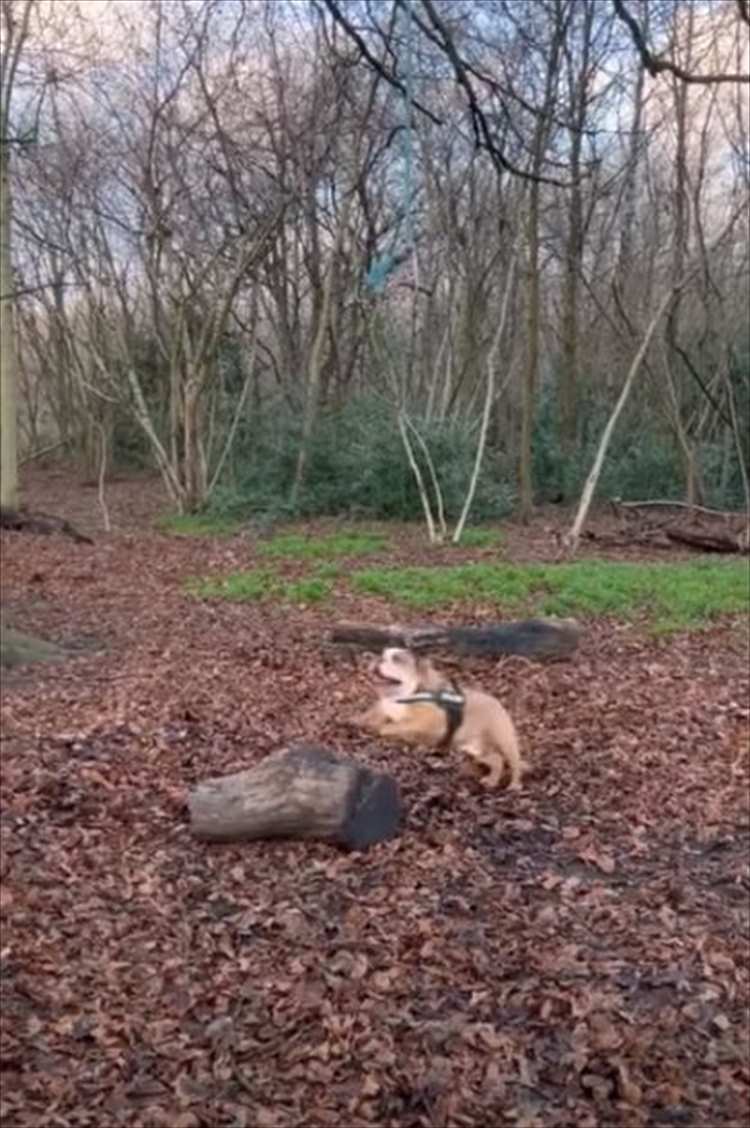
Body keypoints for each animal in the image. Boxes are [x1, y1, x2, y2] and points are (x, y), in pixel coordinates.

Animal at [351, 649, 523, 789]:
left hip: (504, 739)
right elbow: (373, 716)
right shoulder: (385, 709)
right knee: (497, 759)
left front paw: (381, 729)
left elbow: (388, 727)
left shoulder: (422, 723)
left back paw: (514, 785)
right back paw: (491, 780)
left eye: (397, 659)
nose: (377, 659)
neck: (402, 695)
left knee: (514, 763)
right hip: (476, 749)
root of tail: (497, 703)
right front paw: (359, 721)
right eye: (382, 654)